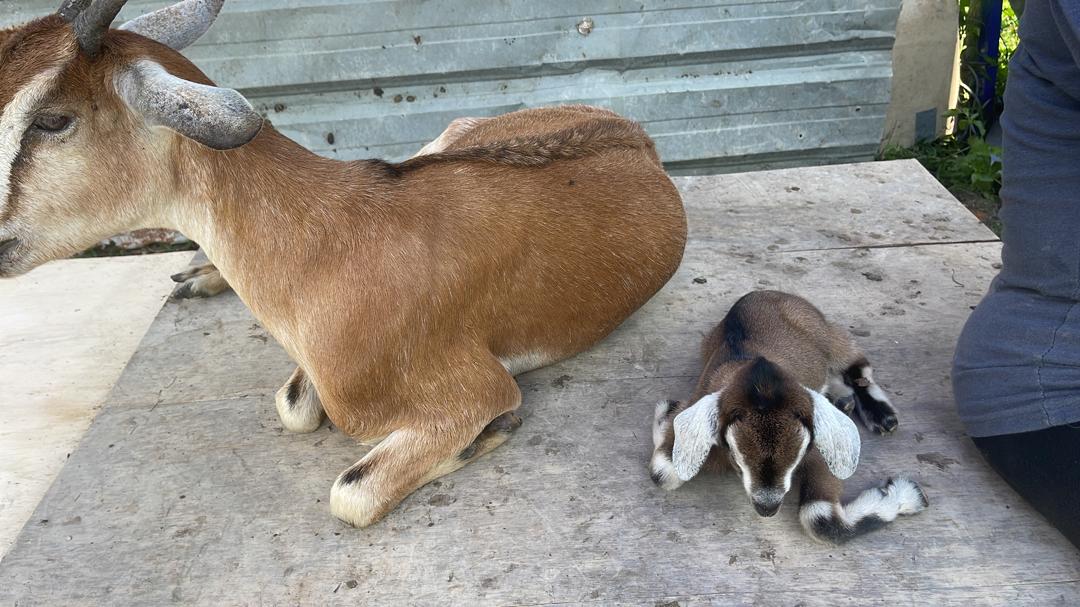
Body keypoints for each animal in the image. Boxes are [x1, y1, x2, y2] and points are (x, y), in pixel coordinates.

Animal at [0, 0, 687, 527]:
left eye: (53, 119)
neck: (327, 238)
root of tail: (639, 138)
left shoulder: (473, 388)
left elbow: (349, 492)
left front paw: (496, 430)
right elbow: (294, 406)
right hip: (445, 138)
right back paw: (198, 276)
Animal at [650, 291, 927, 543]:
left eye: (797, 460)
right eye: (737, 460)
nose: (767, 507)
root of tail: (764, 293)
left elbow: (820, 517)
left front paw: (907, 495)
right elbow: (662, 472)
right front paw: (666, 412)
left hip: (825, 332)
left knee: (857, 366)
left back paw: (881, 414)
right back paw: (843, 399)